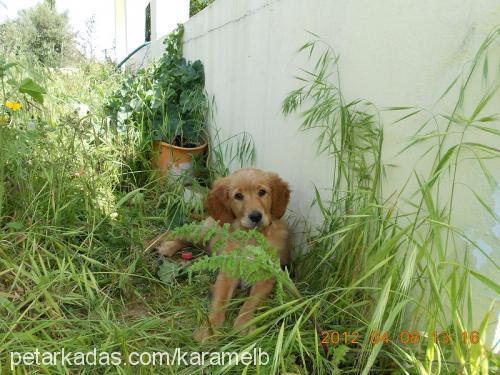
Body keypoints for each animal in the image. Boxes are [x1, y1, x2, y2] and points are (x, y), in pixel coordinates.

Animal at [156, 169, 290, 342]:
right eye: (238, 196)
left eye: (262, 192)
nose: (255, 216)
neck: (251, 238)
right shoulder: (228, 273)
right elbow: (220, 301)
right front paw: (210, 328)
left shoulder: (265, 277)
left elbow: (250, 302)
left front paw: (244, 323)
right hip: (204, 232)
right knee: (185, 235)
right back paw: (168, 246)